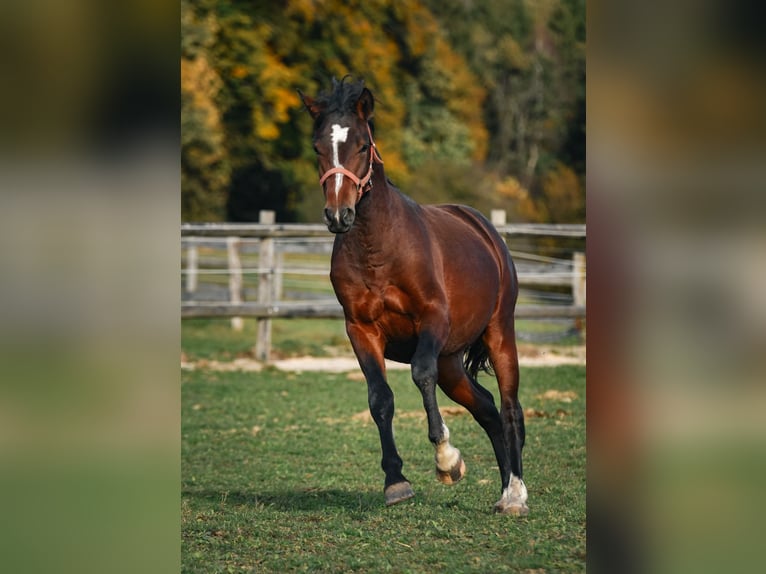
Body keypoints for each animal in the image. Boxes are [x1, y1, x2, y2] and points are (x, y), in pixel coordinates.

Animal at [304, 77, 532, 516]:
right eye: (318, 148)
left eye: (362, 145)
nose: (339, 215)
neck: (380, 249)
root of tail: (483, 228)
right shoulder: (361, 330)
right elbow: (380, 398)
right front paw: (396, 482)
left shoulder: (432, 320)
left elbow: (419, 375)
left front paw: (446, 460)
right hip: (452, 362)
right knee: (487, 409)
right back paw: (501, 491)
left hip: (498, 333)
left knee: (510, 406)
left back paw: (514, 494)